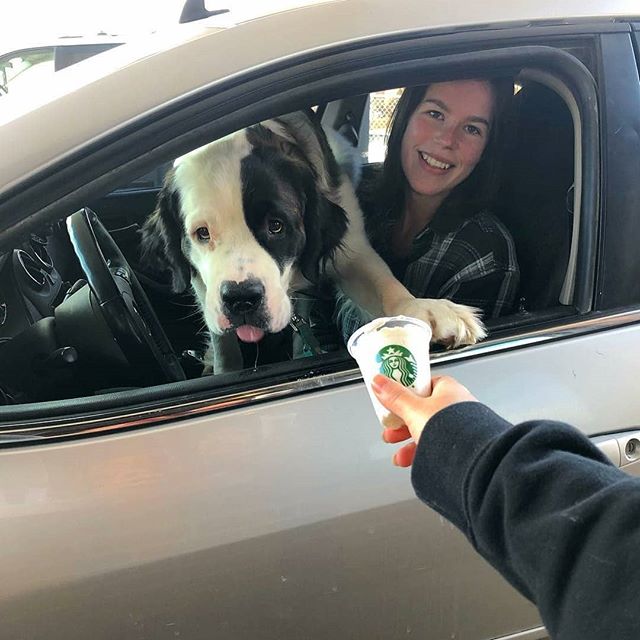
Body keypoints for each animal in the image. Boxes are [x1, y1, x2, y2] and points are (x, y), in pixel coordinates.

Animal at [141, 112, 484, 372]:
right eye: (202, 233)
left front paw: (425, 311)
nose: (241, 299)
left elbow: (382, 282)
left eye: (276, 226)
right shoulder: (203, 288)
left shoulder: (350, 248)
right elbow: (222, 342)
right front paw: (225, 370)